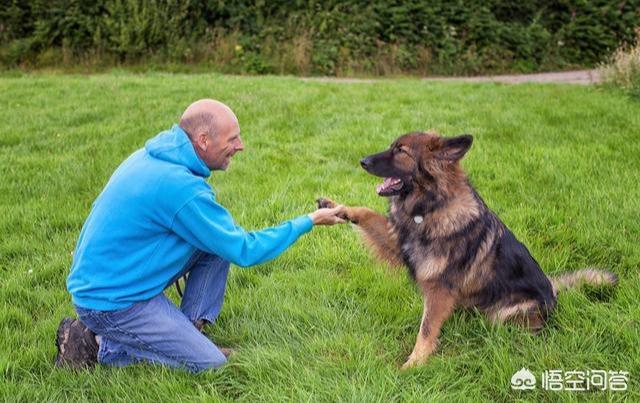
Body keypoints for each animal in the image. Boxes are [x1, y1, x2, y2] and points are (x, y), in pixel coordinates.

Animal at [318, 132, 616, 370]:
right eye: (392, 146)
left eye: (401, 151)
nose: (362, 161)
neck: (430, 207)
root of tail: (553, 291)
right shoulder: (399, 243)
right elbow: (367, 213)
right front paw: (336, 208)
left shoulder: (440, 287)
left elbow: (426, 329)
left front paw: (414, 364)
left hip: (505, 314)